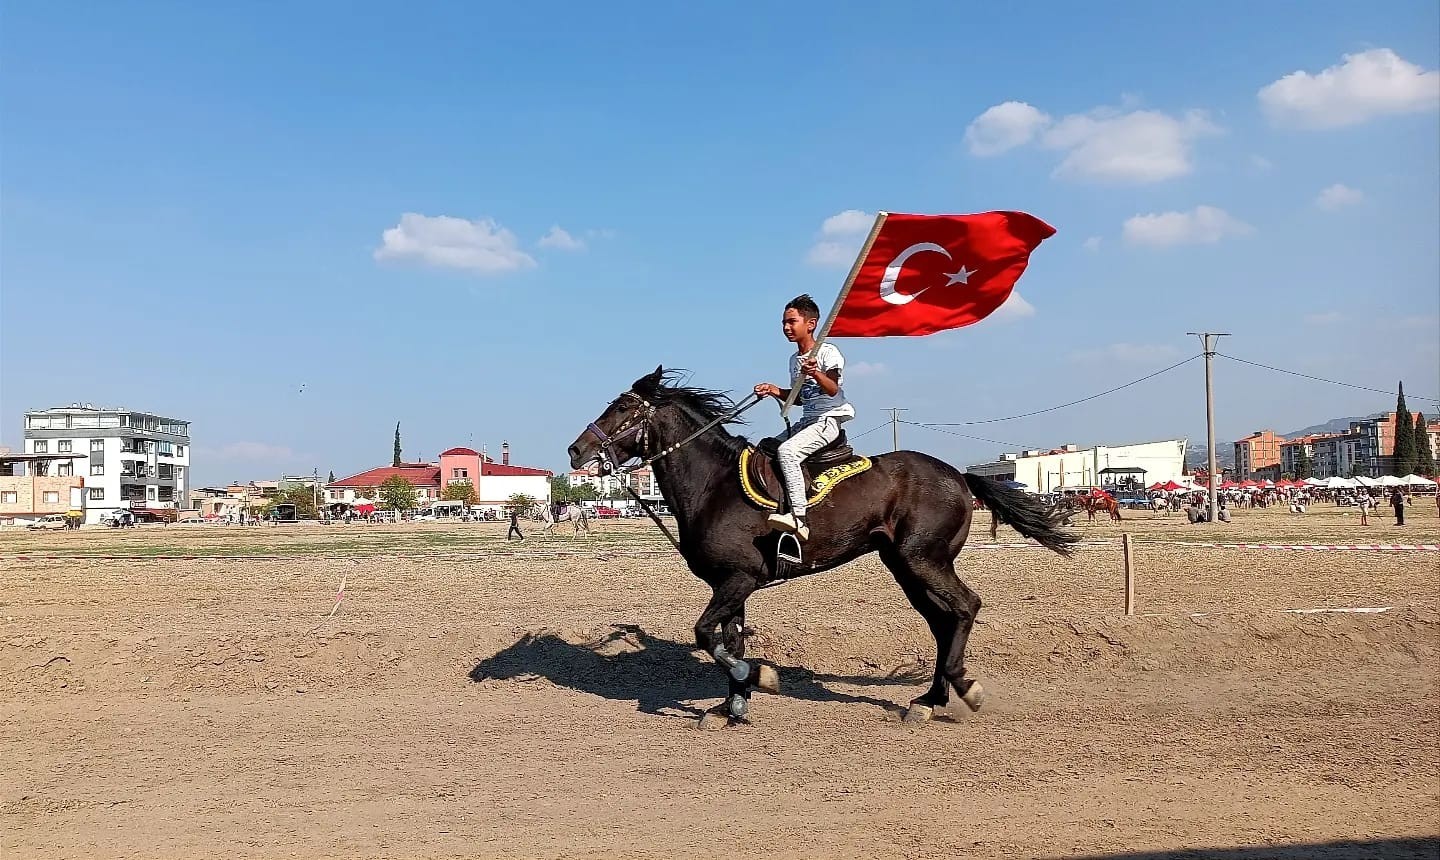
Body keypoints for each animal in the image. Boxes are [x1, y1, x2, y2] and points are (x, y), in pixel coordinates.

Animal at [567, 365, 1077, 728]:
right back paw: (928, 700)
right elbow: (727, 639)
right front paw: (733, 705)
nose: (576, 451)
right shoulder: (729, 584)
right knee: (942, 621)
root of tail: (959, 475)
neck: (714, 485)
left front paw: (758, 678)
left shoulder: (739, 578)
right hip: (904, 566)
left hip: (923, 559)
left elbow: (706, 635)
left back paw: (962, 690)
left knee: (966, 607)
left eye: (623, 408)